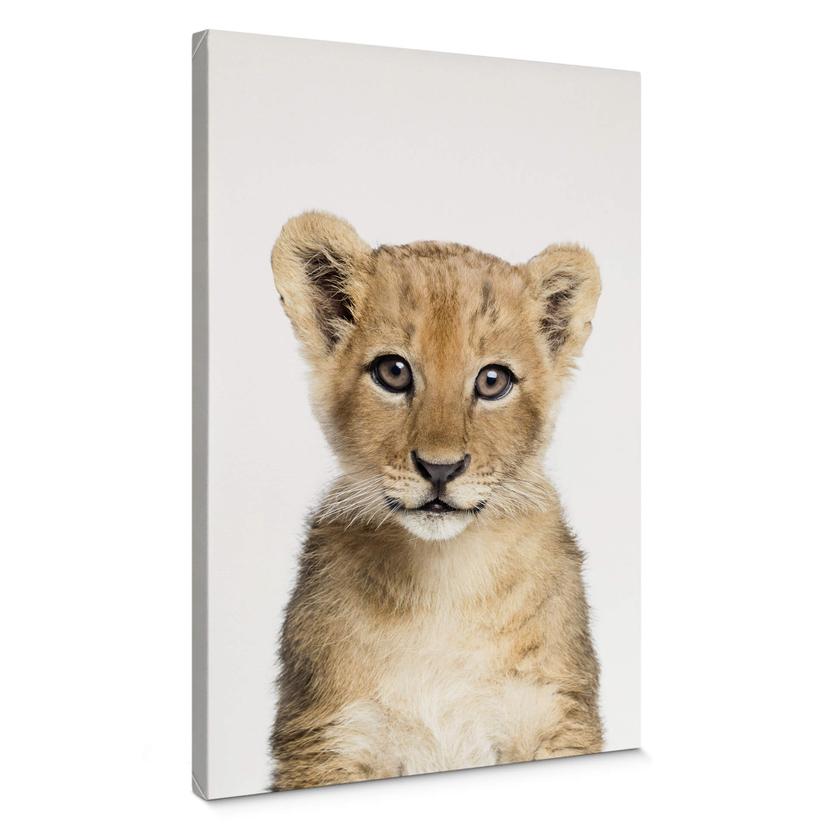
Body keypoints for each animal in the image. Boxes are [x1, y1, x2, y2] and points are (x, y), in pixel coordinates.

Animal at [268, 211, 603, 791]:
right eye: (393, 372)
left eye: (493, 381)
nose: (440, 469)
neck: (445, 581)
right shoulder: (328, 736)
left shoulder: (556, 716)